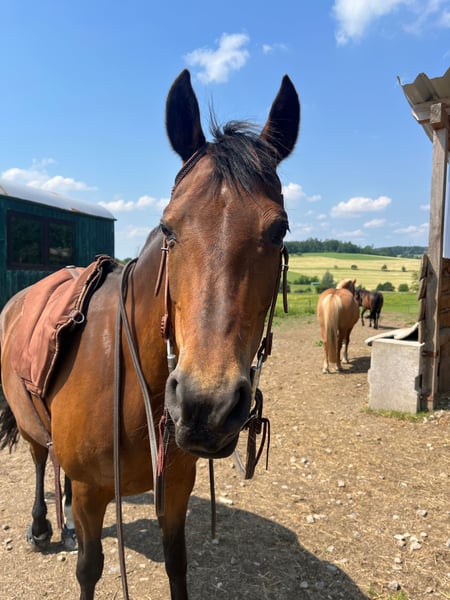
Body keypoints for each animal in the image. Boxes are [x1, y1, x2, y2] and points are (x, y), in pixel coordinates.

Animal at [0, 69, 300, 600]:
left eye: (278, 230)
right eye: (169, 228)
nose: (206, 405)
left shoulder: (176, 489)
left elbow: (177, 564)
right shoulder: (95, 495)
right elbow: (90, 569)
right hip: (30, 422)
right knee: (39, 460)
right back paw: (41, 526)